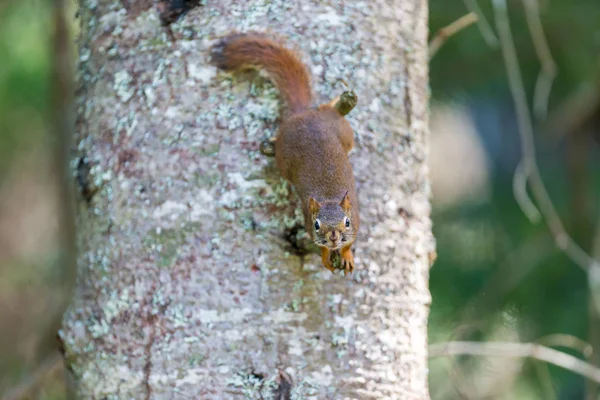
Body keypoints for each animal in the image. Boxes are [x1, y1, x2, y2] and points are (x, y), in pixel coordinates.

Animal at [212, 32, 360, 276]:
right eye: (317, 224)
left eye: (346, 222)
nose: (333, 237)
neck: (329, 196)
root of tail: (301, 116)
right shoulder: (309, 226)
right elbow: (321, 249)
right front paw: (326, 257)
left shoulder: (357, 223)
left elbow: (350, 243)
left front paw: (346, 256)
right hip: (284, 159)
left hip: (344, 133)